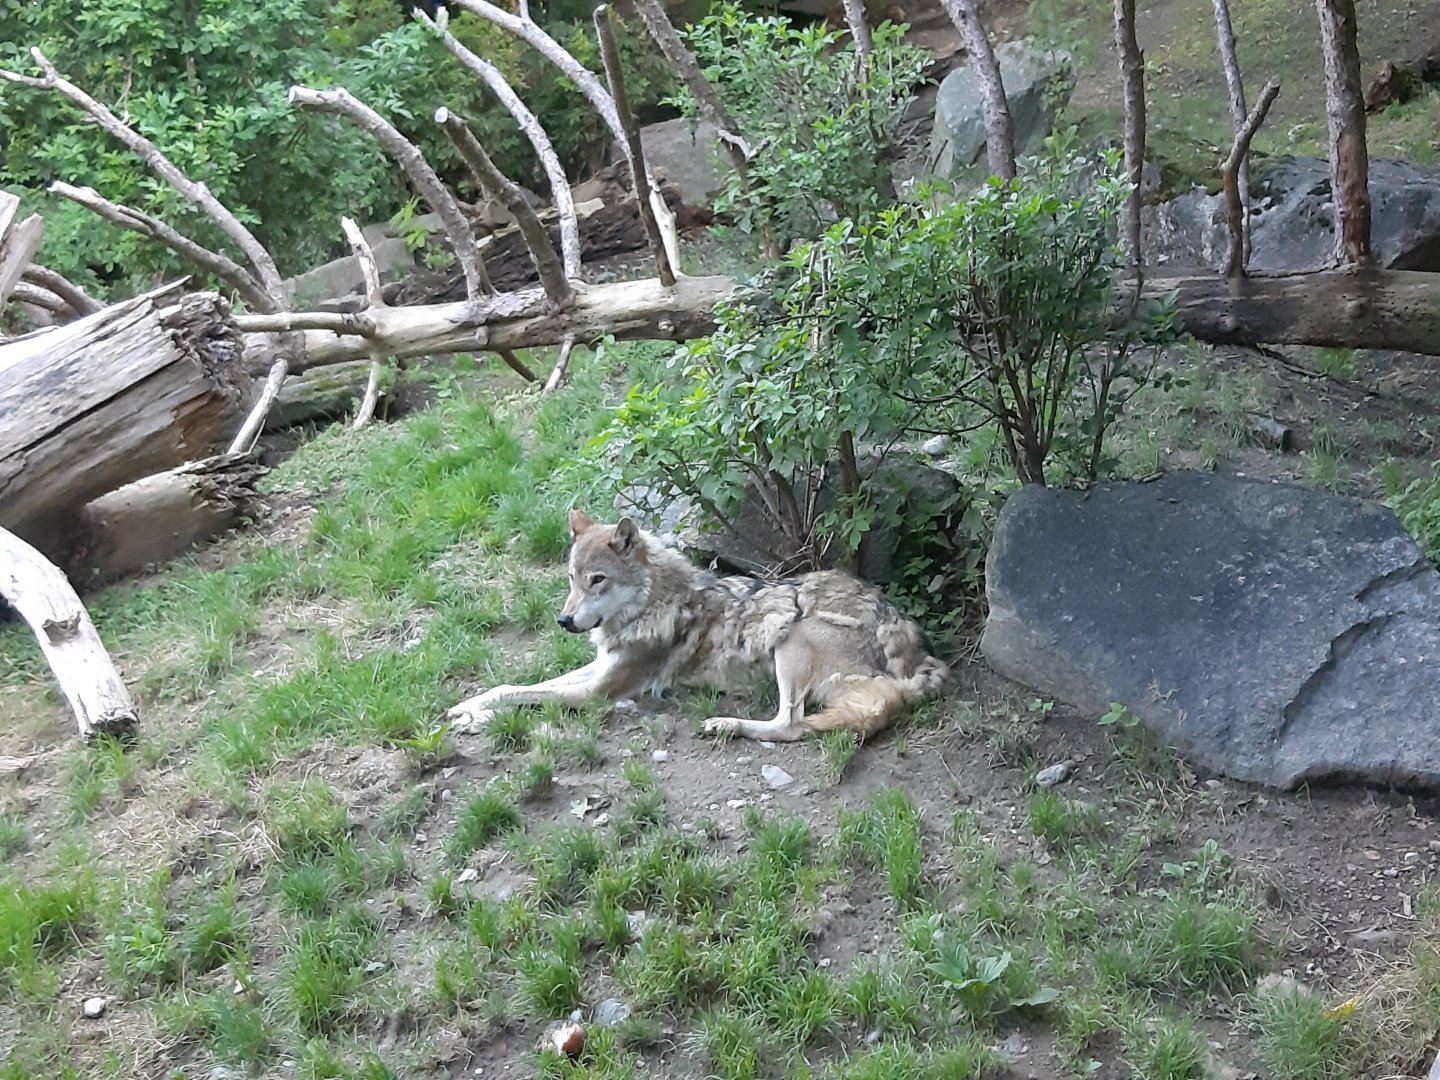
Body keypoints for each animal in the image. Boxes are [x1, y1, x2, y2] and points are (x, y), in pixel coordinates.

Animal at [446, 509, 948, 741]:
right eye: (571, 578)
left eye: (598, 580)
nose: (565, 620)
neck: (652, 604)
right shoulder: (600, 667)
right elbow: (514, 686)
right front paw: (470, 707)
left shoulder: (598, 692)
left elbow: (530, 695)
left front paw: (475, 716)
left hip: (790, 637)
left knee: (790, 724)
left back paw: (725, 724)